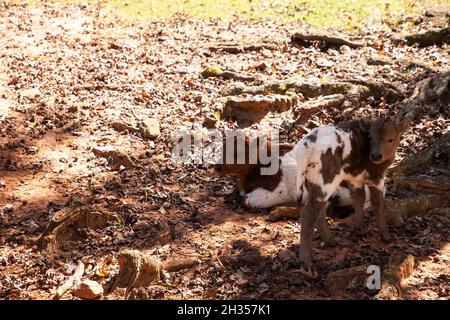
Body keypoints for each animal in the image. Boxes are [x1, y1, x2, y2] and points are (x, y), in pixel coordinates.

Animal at [294, 117, 410, 278]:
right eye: (370, 138)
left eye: (390, 139)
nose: (376, 155)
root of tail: (305, 145)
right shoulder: (376, 176)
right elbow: (378, 202)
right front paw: (386, 235)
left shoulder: (355, 178)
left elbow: (358, 198)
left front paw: (360, 229)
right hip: (325, 178)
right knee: (309, 212)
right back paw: (307, 264)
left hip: (314, 180)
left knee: (318, 208)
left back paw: (330, 241)